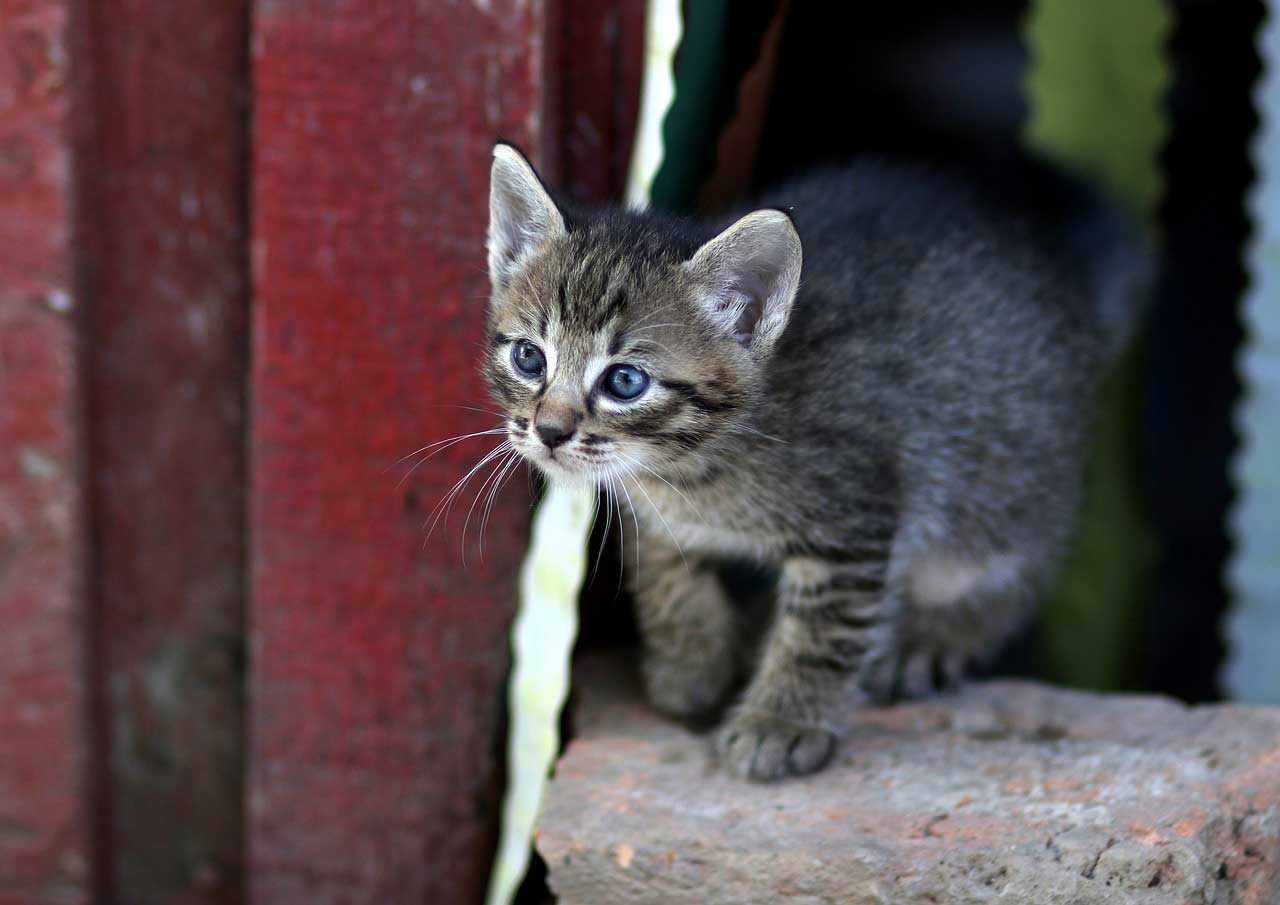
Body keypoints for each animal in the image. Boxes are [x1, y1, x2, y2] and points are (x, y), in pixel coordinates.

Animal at [483, 145, 1146, 783]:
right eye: (529, 358)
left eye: (624, 381)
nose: (548, 431)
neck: (690, 466)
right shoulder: (657, 517)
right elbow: (670, 584)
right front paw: (692, 672)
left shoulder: (855, 521)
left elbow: (819, 635)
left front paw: (780, 724)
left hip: (1006, 482)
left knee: (1013, 568)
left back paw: (932, 637)